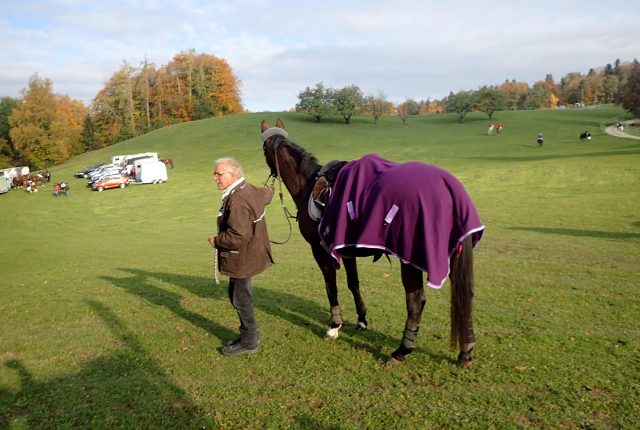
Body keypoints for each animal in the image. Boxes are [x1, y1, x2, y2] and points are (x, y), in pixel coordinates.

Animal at [260, 118, 484, 366]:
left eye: (263, 150)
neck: (309, 184)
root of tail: (449, 188)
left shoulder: (320, 251)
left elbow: (331, 286)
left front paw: (334, 326)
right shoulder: (346, 251)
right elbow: (353, 284)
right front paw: (361, 319)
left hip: (410, 260)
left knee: (416, 301)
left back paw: (401, 351)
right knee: (465, 295)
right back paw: (466, 350)